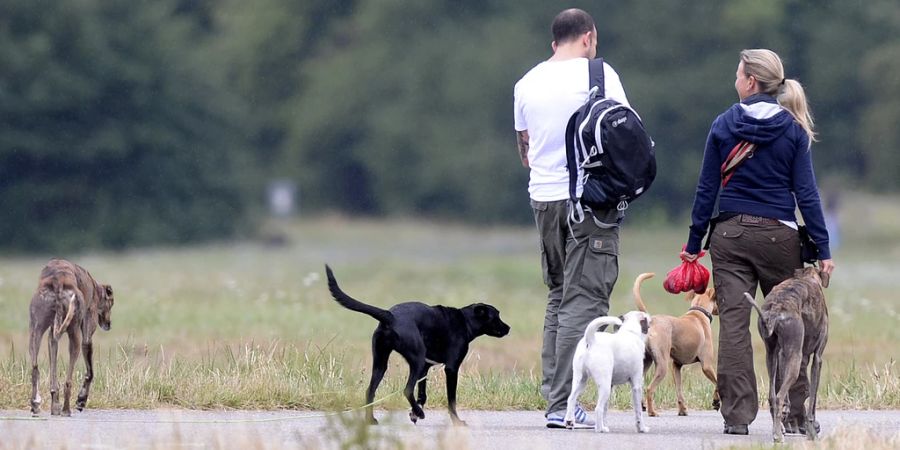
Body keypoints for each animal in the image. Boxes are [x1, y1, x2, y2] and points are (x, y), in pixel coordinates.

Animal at [29, 258, 115, 416]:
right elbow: (90, 373)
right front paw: (81, 400)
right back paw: (66, 409)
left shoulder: (52, 335)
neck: (94, 288)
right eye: (111, 303)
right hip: (74, 335)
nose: (109, 324)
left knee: (35, 369)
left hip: (35, 331)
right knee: (68, 381)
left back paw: (39, 404)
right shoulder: (87, 335)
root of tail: (58, 281)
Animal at [326, 266, 510, 428]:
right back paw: (418, 414)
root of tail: (390, 316)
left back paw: (371, 420)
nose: (508, 328)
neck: (465, 321)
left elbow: (422, 395)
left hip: (381, 363)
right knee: (407, 390)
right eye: (496, 316)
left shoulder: (426, 368)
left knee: (370, 391)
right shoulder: (450, 368)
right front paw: (456, 421)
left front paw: (414, 413)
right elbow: (451, 400)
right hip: (416, 360)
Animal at [636, 274, 720, 418]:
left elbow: (679, 391)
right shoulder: (707, 366)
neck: (698, 312)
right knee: (649, 389)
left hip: (646, 362)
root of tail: (651, 321)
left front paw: (682, 410)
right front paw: (716, 401)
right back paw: (652, 412)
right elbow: (718, 383)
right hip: (662, 365)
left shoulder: (676, 366)